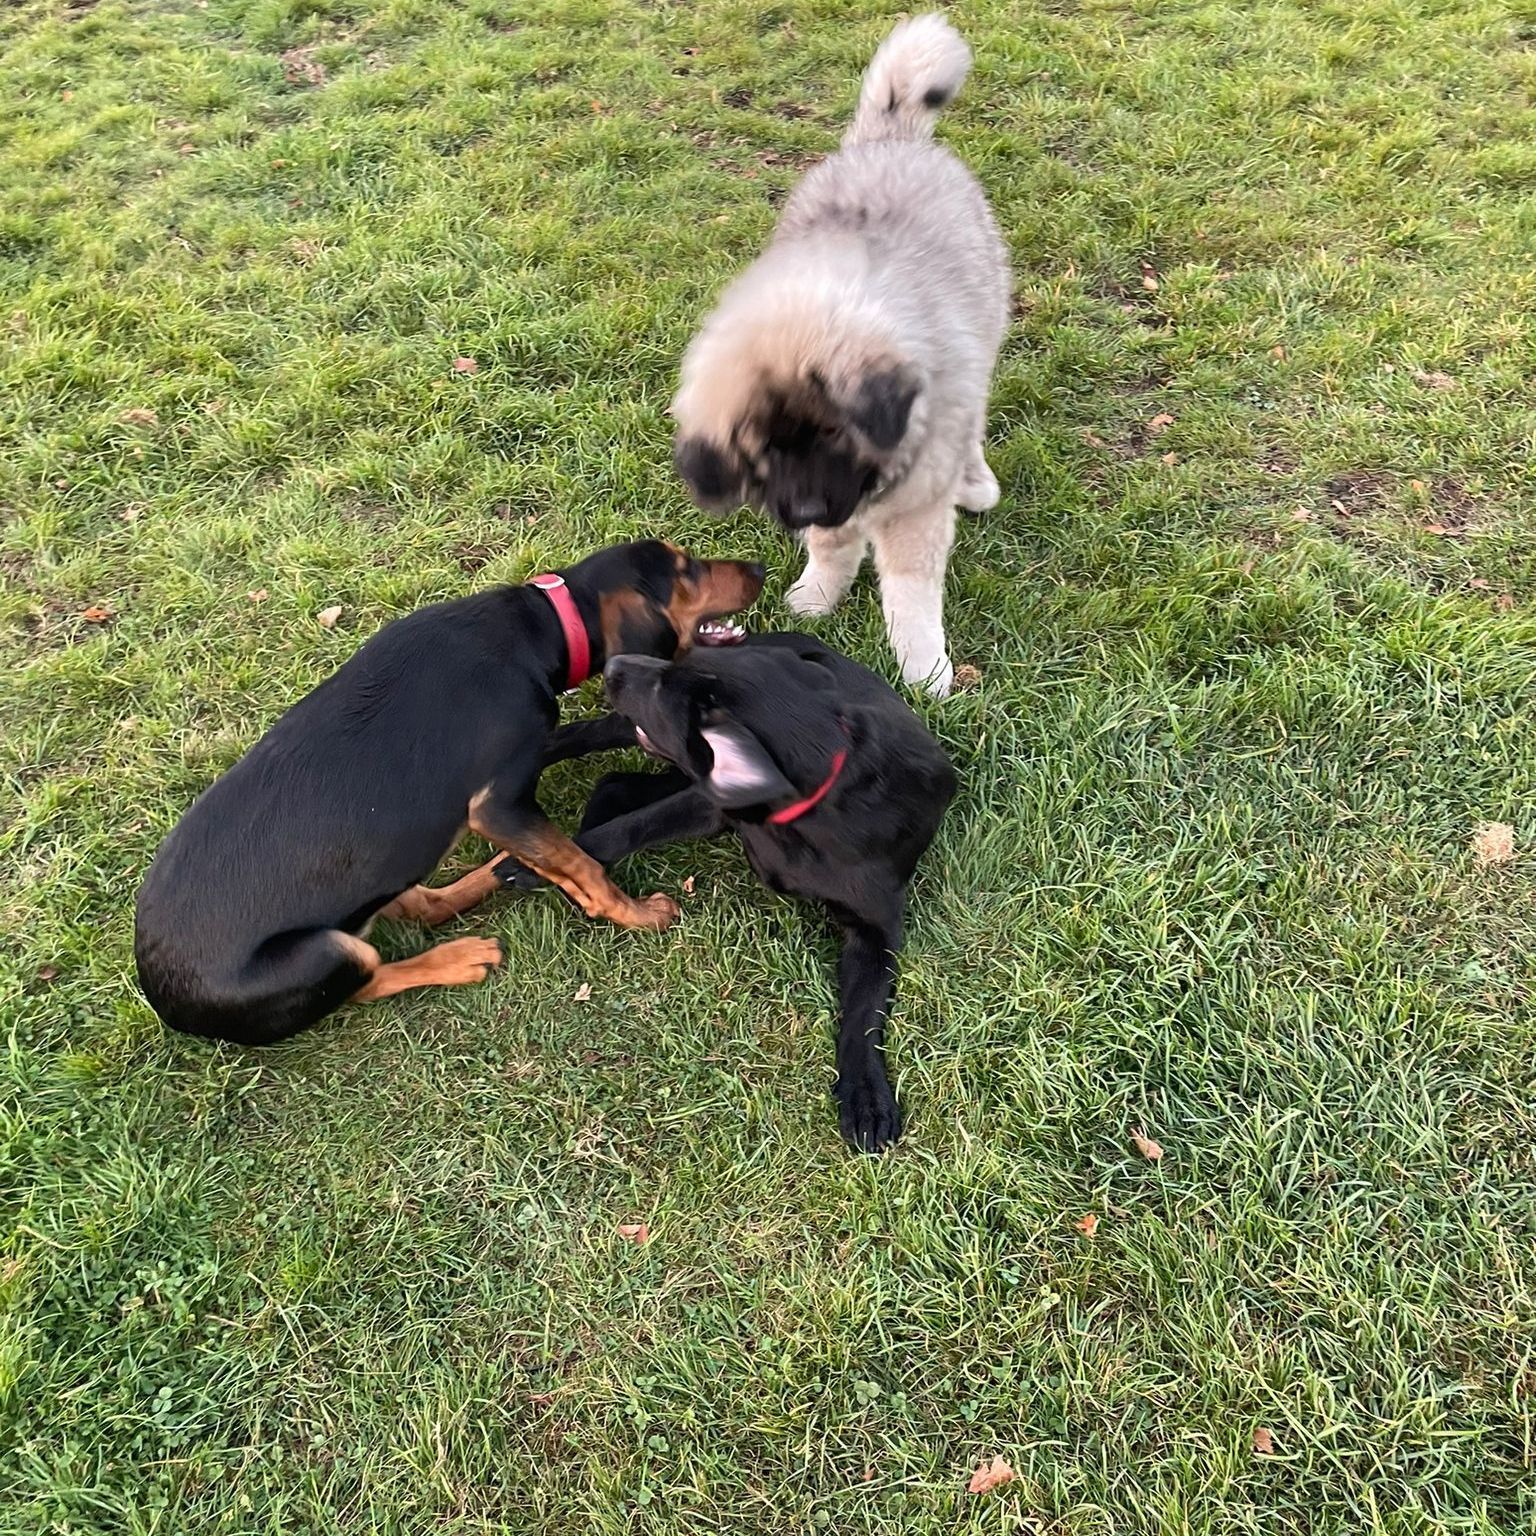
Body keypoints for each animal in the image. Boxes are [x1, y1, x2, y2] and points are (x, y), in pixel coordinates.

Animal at [134, 541, 764, 1046]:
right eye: (685, 570)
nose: (759, 566)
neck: (538, 624)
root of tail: (164, 1002)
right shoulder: (499, 804)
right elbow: (585, 868)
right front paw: (639, 915)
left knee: (427, 905)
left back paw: (496, 874)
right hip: (325, 953)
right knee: (371, 977)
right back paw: (463, 957)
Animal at [505, 633, 956, 1151]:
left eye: (664, 691)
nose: (614, 664)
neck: (812, 806)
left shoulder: (877, 929)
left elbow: (863, 1015)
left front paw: (866, 1095)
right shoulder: (708, 803)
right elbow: (626, 830)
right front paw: (548, 864)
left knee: (616, 781)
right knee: (590, 741)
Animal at [670, 14, 1010, 696]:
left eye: (834, 435)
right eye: (760, 453)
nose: (800, 512)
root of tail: (890, 135)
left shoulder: (911, 511)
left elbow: (910, 593)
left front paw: (925, 670)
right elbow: (832, 548)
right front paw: (818, 595)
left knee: (974, 422)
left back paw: (975, 480)